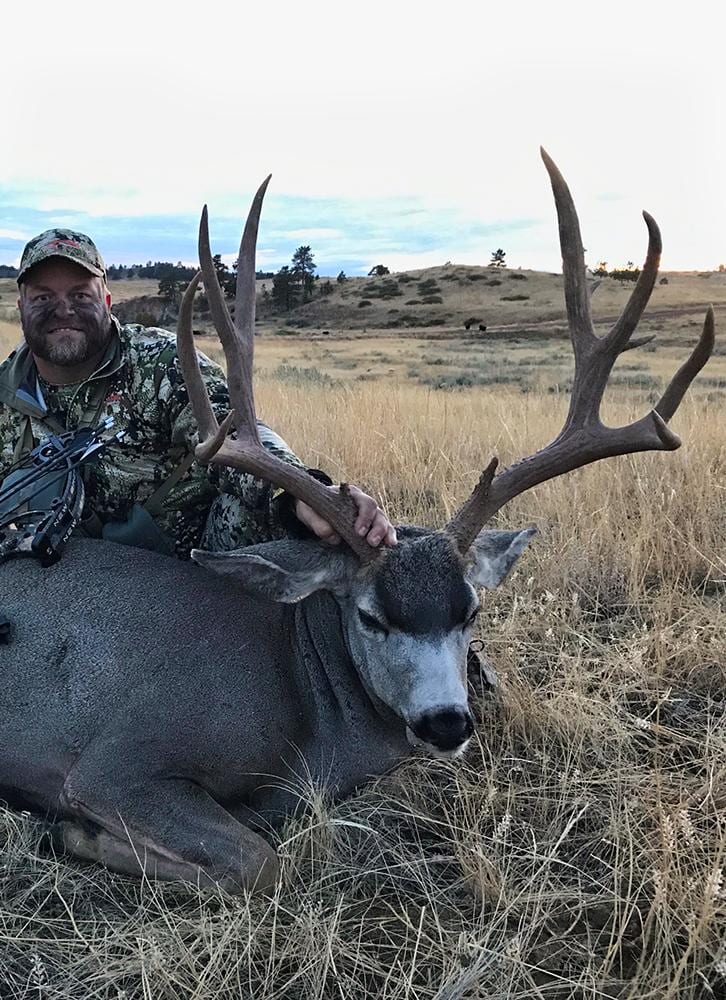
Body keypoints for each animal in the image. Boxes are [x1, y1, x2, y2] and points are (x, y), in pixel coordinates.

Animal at [0, 150, 714, 892]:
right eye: (371, 615)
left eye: (471, 611)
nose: (446, 722)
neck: (304, 709)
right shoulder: (120, 758)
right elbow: (262, 861)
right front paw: (72, 833)